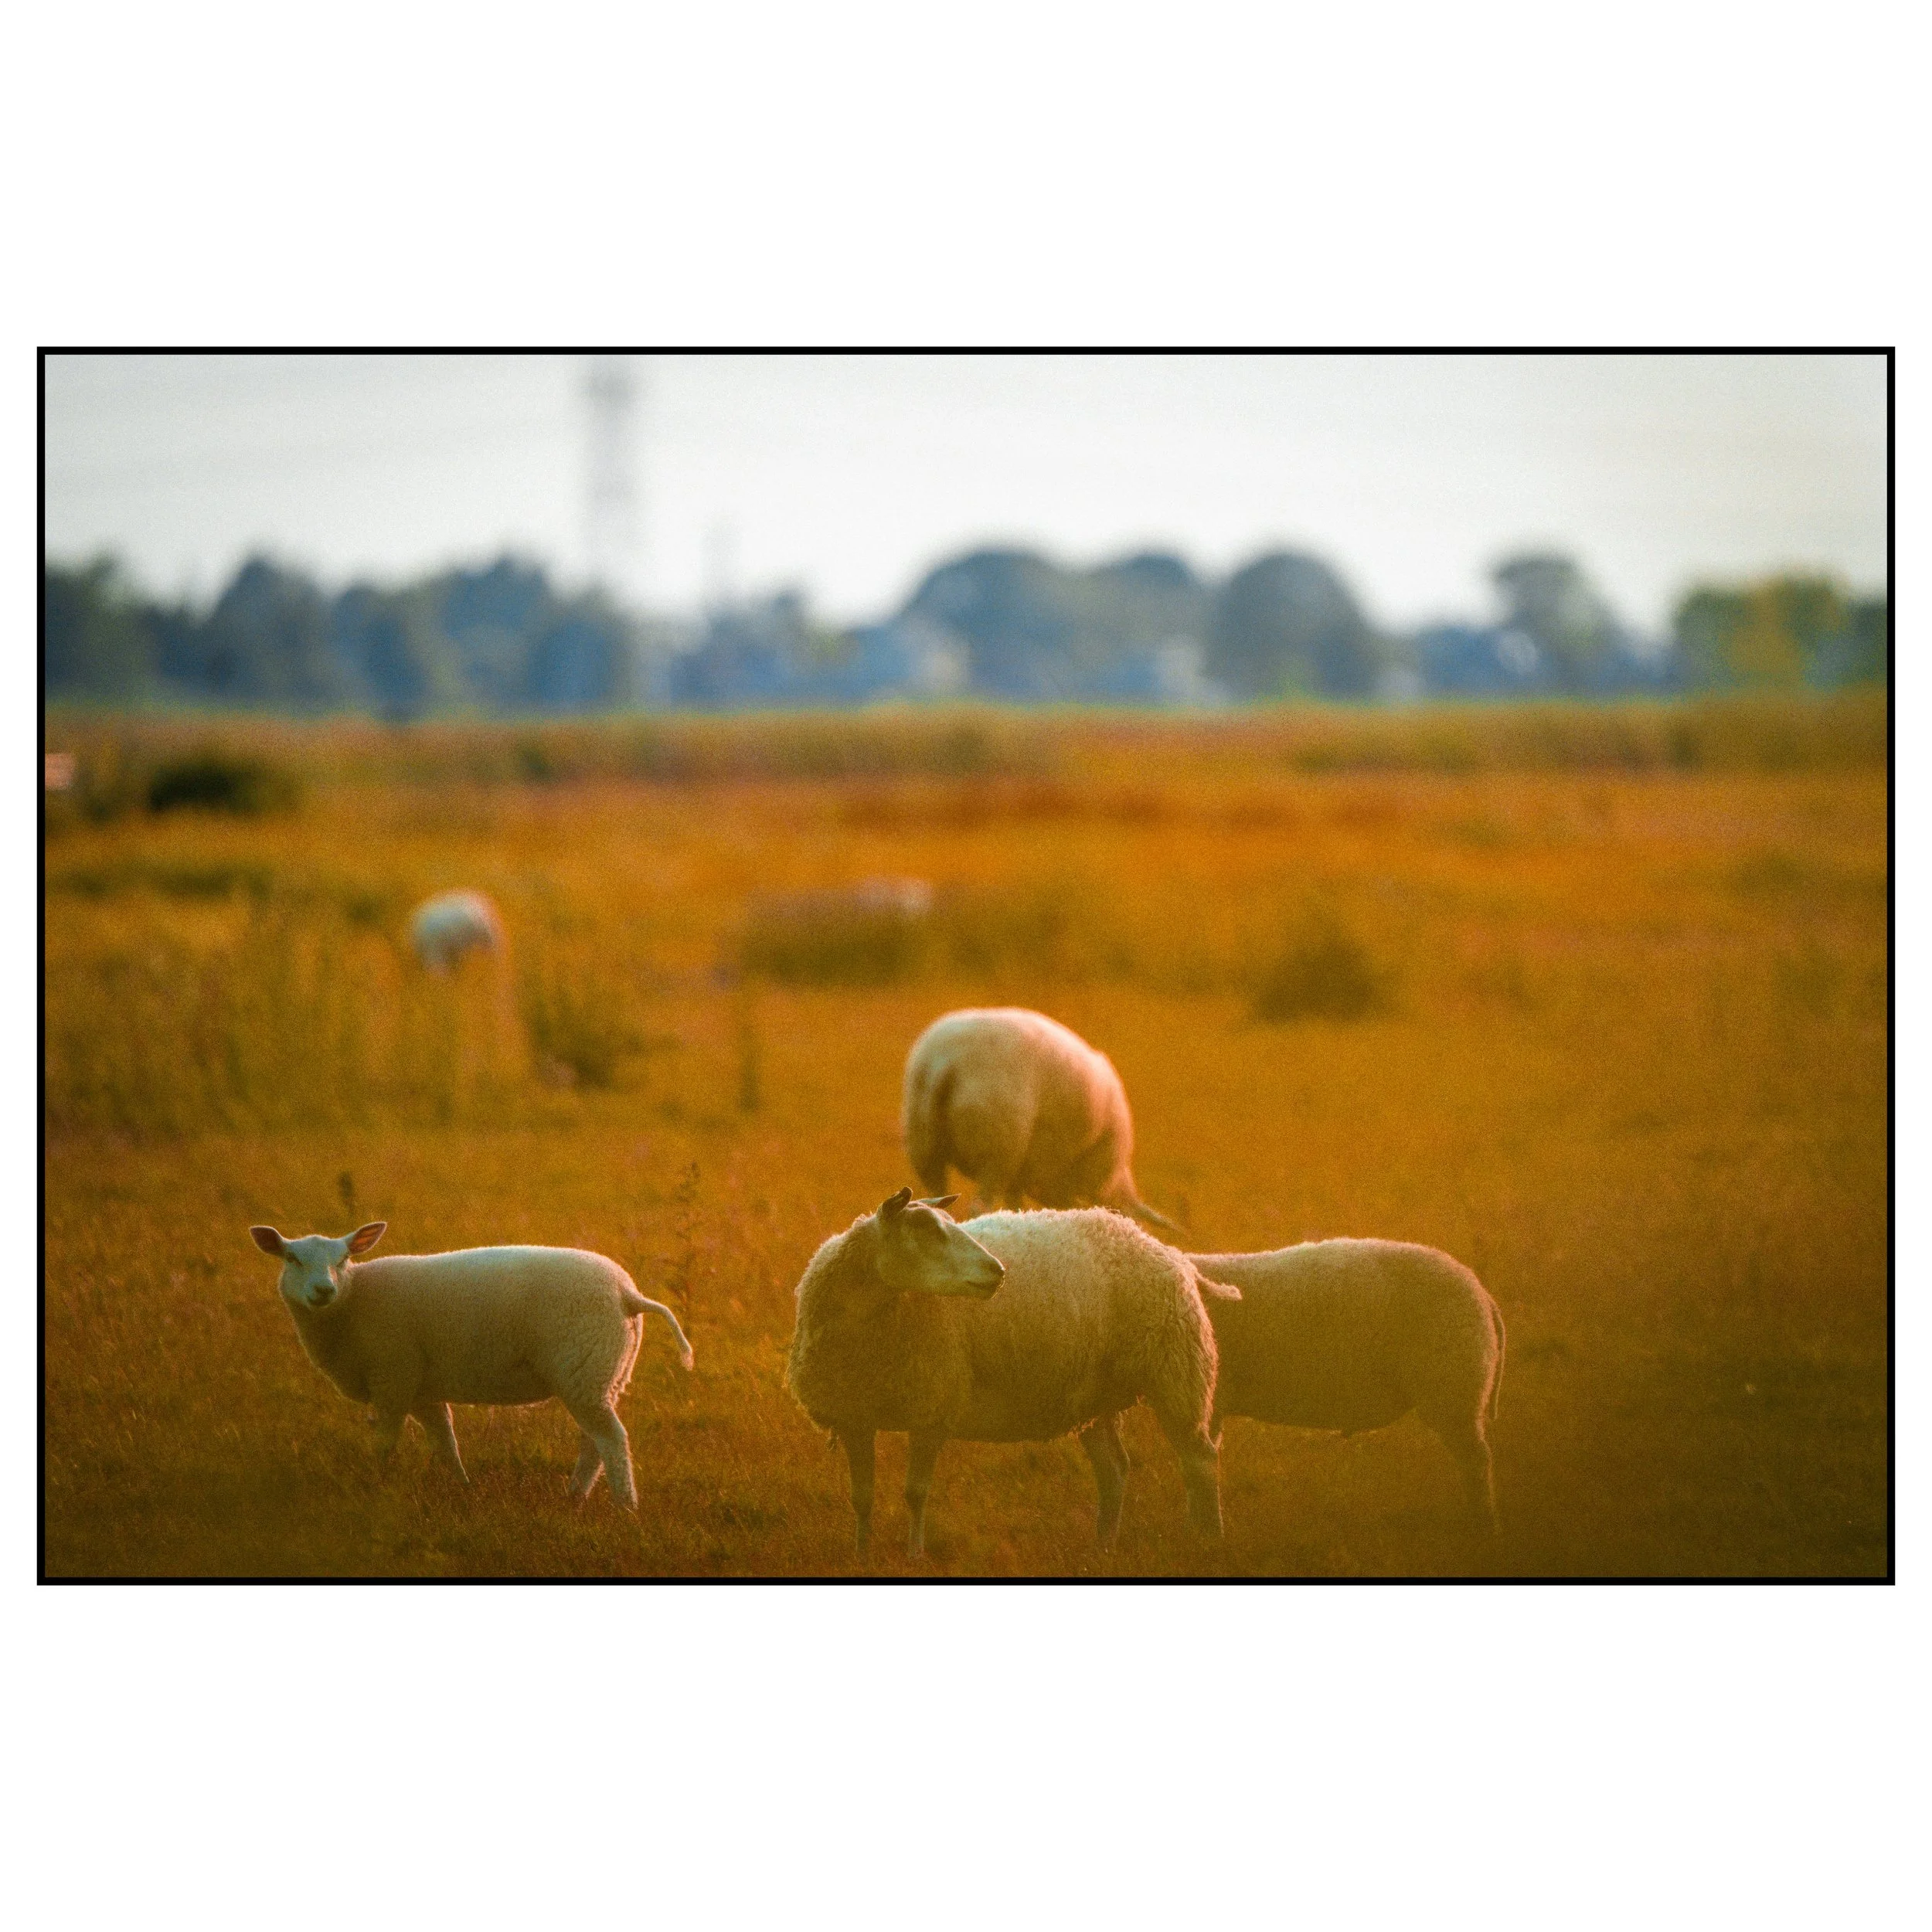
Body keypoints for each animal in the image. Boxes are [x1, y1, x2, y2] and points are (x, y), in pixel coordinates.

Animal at [248, 1221, 693, 1508]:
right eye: (291, 1258)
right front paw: (462, 1488)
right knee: (594, 1441)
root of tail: (628, 1294)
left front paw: (376, 1487)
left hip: (583, 1368)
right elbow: (445, 1442)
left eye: (342, 1259)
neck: (353, 1301)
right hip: (604, 1373)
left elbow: (385, 1443)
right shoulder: (421, 1388)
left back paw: (626, 1508)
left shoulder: (393, 1377)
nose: (323, 1290)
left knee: (612, 1440)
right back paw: (575, 1498)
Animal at [786, 1189, 1228, 1555]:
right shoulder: (853, 1416)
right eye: (927, 1230)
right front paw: (861, 1555)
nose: (997, 1270)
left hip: (1176, 1373)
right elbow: (861, 1498)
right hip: (1094, 1395)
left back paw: (1208, 1540)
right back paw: (1102, 1547)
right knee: (1115, 1470)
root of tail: (1152, 1243)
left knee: (1200, 1461)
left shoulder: (932, 1409)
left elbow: (915, 1494)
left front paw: (914, 1556)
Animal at [901, 1007, 1179, 1231]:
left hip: (924, 1145)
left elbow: (1017, 1206)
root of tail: (946, 1062)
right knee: (980, 1205)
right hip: (997, 1147)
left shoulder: (1024, 1176)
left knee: (939, 1197)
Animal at [1187, 1239, 1506, 1531]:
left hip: (1454, 1389)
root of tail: (1482, 1295)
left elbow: (1201, 1469)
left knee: (1477, 1461)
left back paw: (1482, 1524)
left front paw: (1204, 1533)